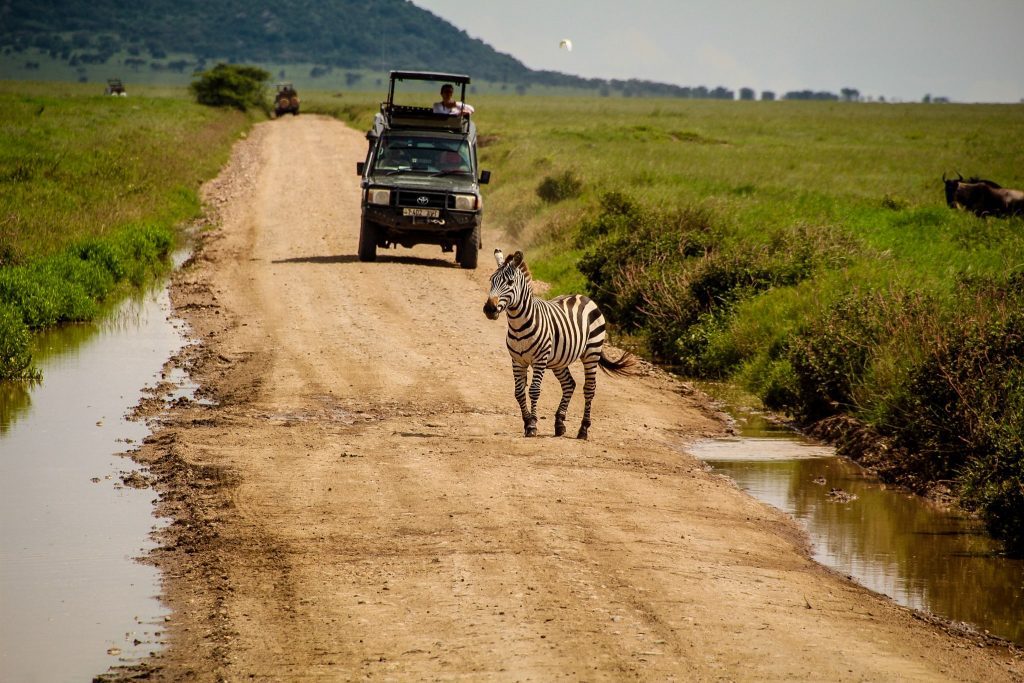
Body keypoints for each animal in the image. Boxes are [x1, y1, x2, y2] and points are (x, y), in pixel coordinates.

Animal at [483, 248, 634, 440]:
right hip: (559, 360)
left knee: (589, 388)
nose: (489, 309)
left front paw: (532, 425)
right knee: (569, 384)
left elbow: (534, 390)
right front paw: (527, 422)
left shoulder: (539, 360)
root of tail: (583, 296)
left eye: (509, 282)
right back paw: (559, 424)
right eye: (491, 280)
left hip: (592, 352)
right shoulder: (517, 361)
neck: (519, 326)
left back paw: (583, 429)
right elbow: (518, 392)